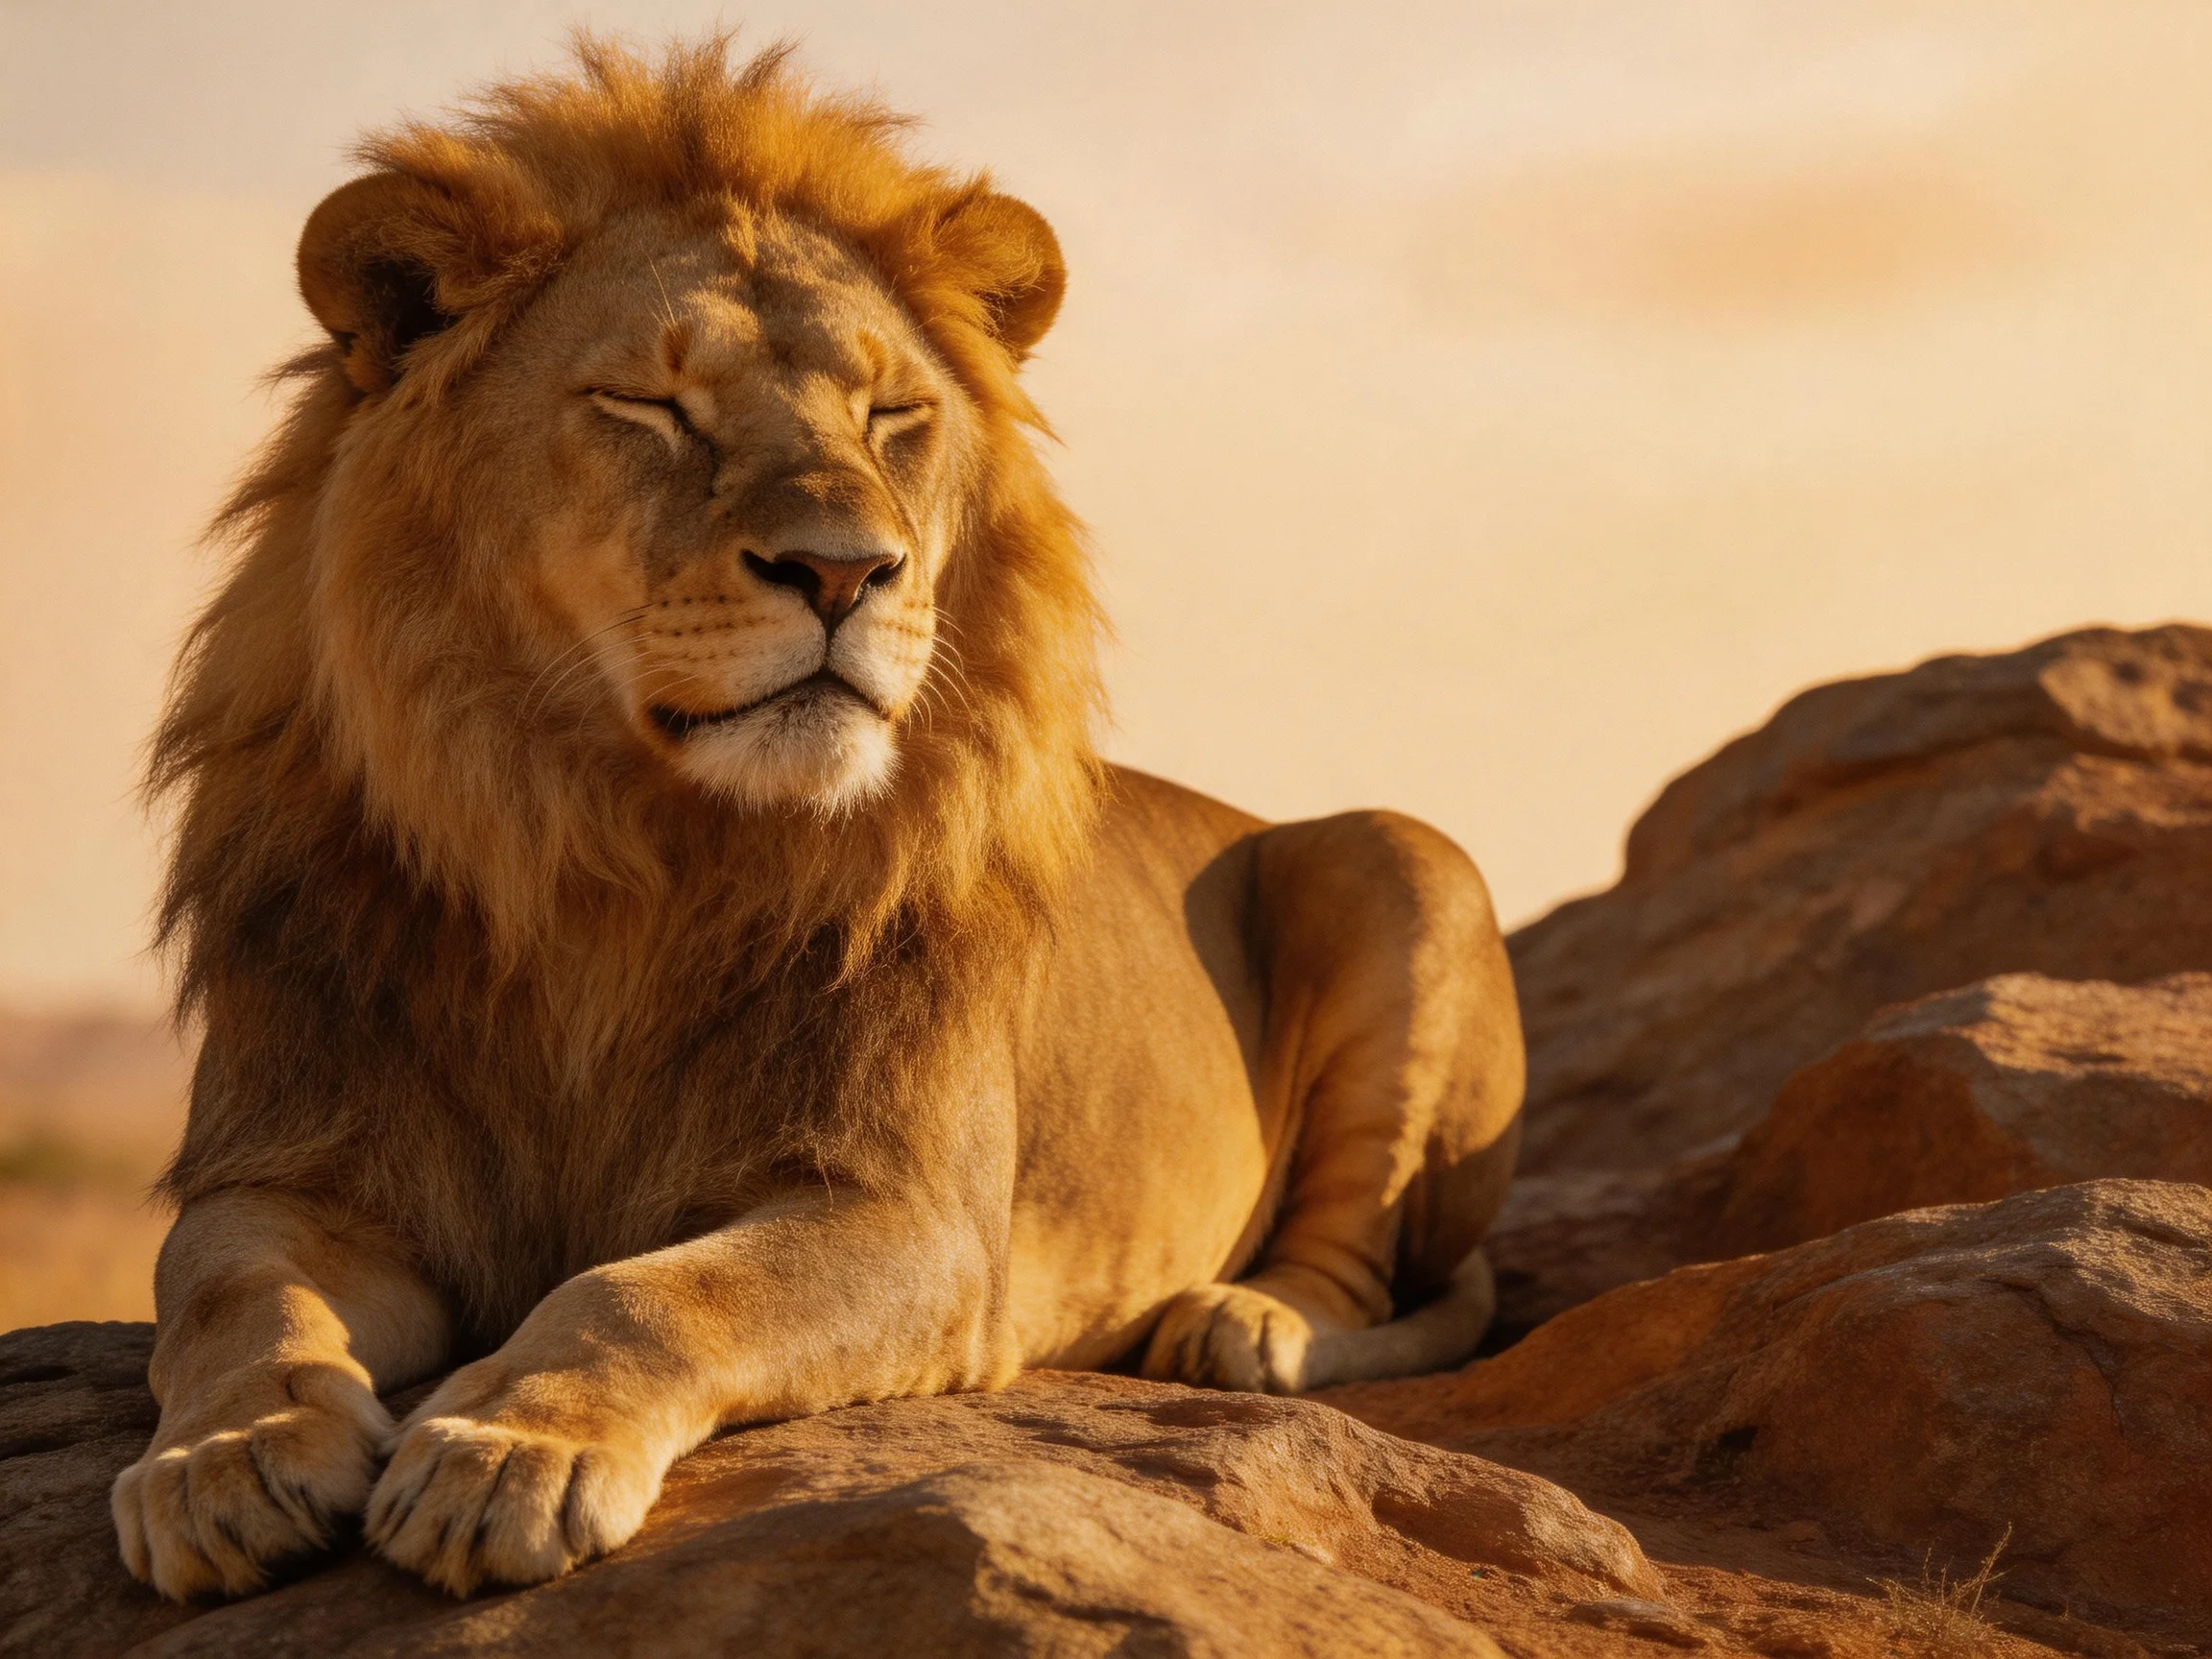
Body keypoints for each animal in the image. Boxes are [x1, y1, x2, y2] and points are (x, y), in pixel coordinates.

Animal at [111, 37, 1524, 1602]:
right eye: (648, 406)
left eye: (893, 419)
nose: (845, 572)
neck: (609, 851)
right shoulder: (293, 1163)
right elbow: (232, 1299)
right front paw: (227, 1462)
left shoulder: (909, 1218)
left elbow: (647, 1295)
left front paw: (505, 1452)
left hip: (1399, 854)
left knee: (1367, 1263)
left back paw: (1242, 1324)